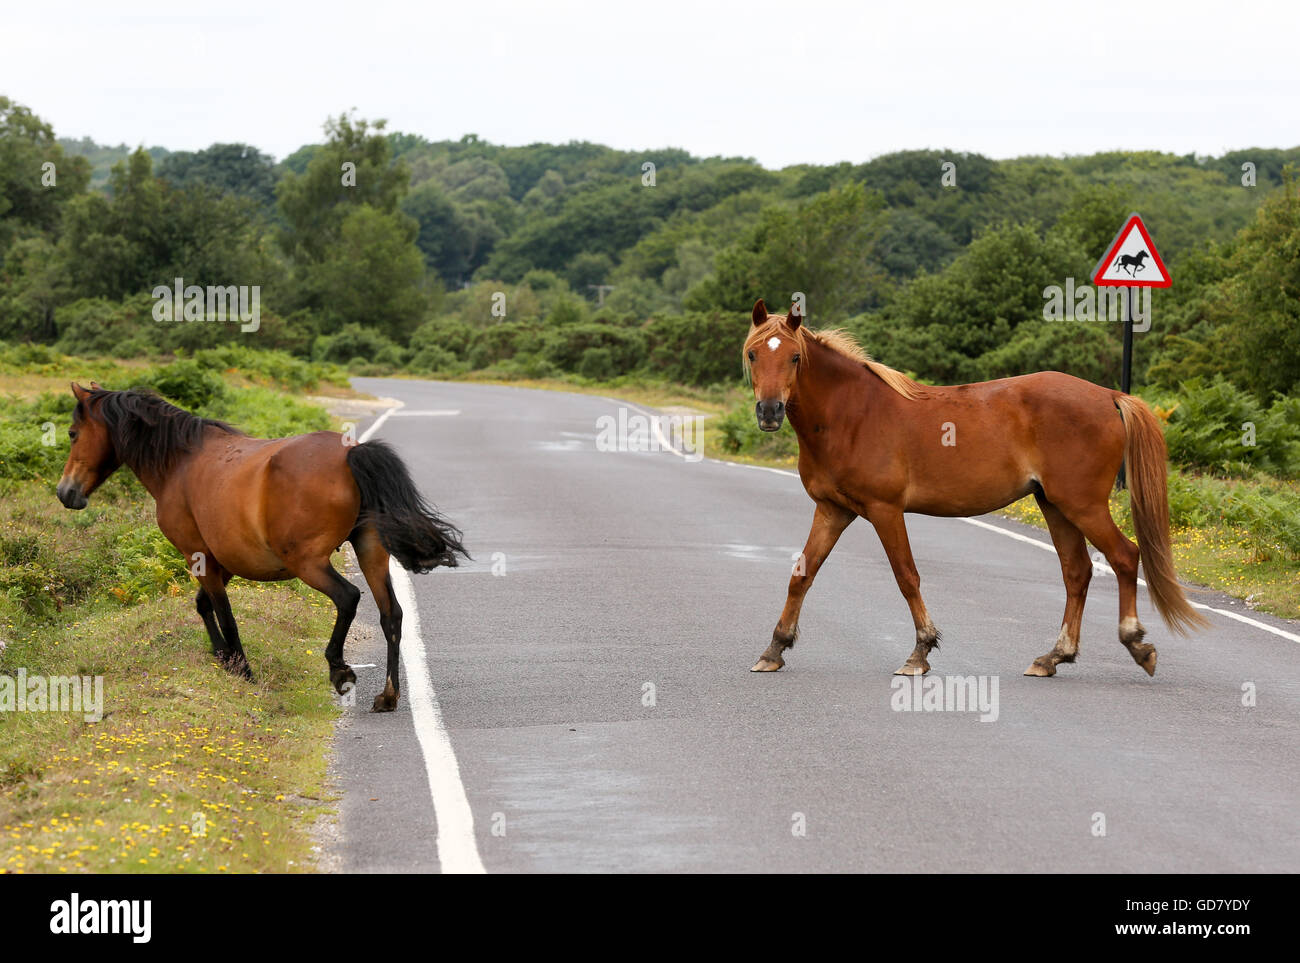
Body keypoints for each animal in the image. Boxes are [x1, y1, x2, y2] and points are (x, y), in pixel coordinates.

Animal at [58, 382, 473, 706]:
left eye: (73, 433)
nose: (66, 493)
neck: (179, 463)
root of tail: (349, 453)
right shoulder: (221, 562)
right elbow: (203, 605)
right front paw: (223, 657)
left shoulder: (200, 557)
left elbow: (224, 614)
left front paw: (240, 667)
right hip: (371, 551)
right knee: (391, 615)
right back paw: (388, 695)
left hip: (309, 563)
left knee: (348, 598)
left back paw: (338, 669)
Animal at [743, 298, 1206, 675]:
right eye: (752, 354)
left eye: (795, 357)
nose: (769, 411)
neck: (851, 414)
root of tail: (1108, 395)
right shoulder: (833, 510)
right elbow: (802, 575)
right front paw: (774, 649)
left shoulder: (884, 511)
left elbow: (906, 576)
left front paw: (921, 652)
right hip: (1054, 505)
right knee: (1077, 571)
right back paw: (1053, 657)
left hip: (1082, 504)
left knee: (1125, 557)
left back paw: (1136, 644)